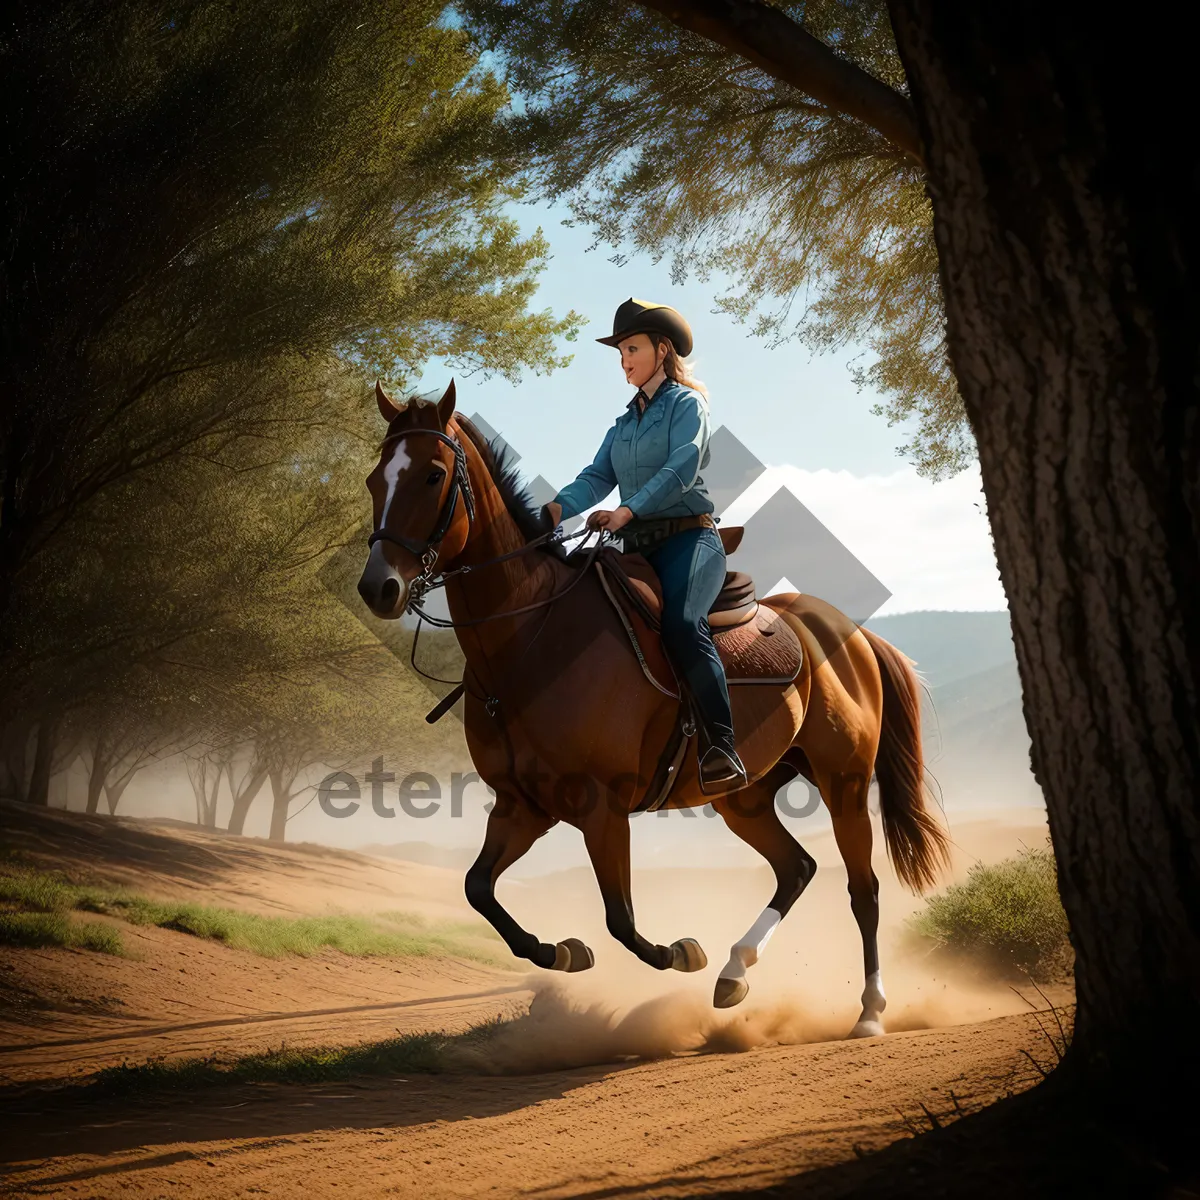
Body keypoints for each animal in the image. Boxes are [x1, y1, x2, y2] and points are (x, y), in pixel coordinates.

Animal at [355, 381, 945, 1032]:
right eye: (375, 479)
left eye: (433, 475)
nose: (378, 587)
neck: (533, 636)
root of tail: (849, 632)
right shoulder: (521, 806)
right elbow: (478, 888)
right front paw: (562, 951)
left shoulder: (602, 806)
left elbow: (621, 919)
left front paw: (681, 952)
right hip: (745, 798)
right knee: (796, 868)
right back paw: (734, 974)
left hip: (843, 781)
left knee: (863, 891)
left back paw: (869, 1010)